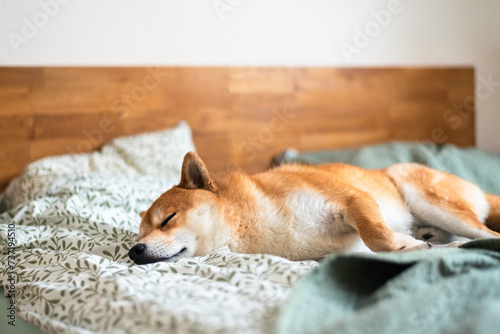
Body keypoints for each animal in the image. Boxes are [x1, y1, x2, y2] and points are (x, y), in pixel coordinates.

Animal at [129, 151, 500, 264]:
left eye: (168, 219)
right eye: (139, 234)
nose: (134, 251)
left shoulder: (353, 199)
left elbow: (376, 236)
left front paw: (400, 243)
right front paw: (414, 247)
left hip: (424, 194)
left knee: (487, 234)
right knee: (460, 240)